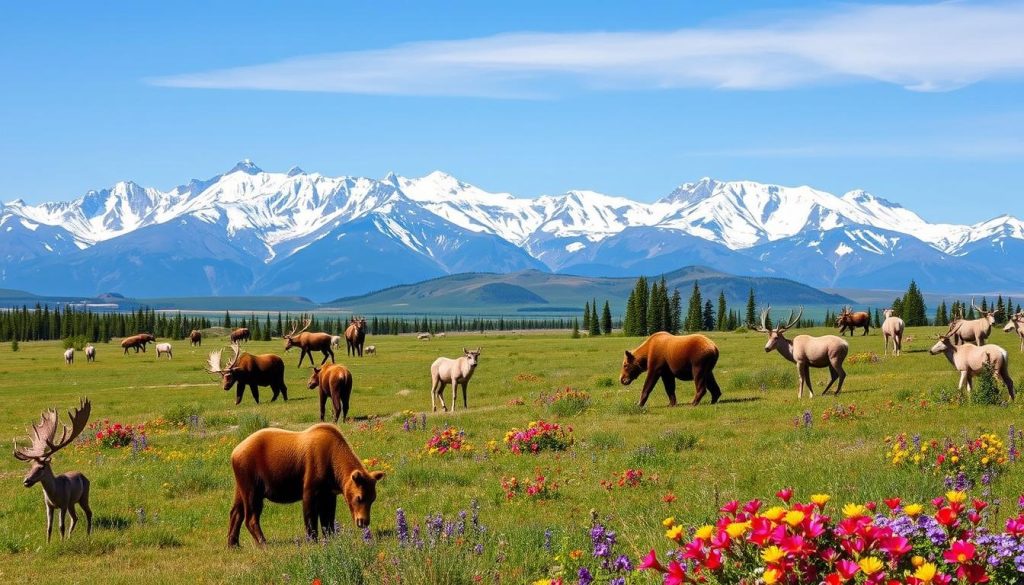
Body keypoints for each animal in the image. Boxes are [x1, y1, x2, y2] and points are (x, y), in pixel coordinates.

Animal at [12, 397, 93, 545]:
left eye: (41, 467)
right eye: (31, 466)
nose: (26, 481)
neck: (54, 494)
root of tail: (84, 476)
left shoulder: (63, 503)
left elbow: (61, 526)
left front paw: (61, 543)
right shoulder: (49, 505)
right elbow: (49, 527)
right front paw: (48, 544)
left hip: (83, 496)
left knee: (88, 513)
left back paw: (87, 535)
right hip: (72, 502)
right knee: (75, 517)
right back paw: (70, 537)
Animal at [228, 424, 385, 549]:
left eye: (372, 499)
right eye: (359, 498)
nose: (363, 521)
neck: (334, 469)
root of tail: (234, 452)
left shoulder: (329, 492)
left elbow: (328, 518)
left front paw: (330, 537)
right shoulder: (311, 485)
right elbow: (310, 516)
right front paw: (312, 539)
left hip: (240, 483)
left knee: (236, 512)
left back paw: (233, 543)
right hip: (252, 482)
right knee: (251, 515)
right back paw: (263, 542)